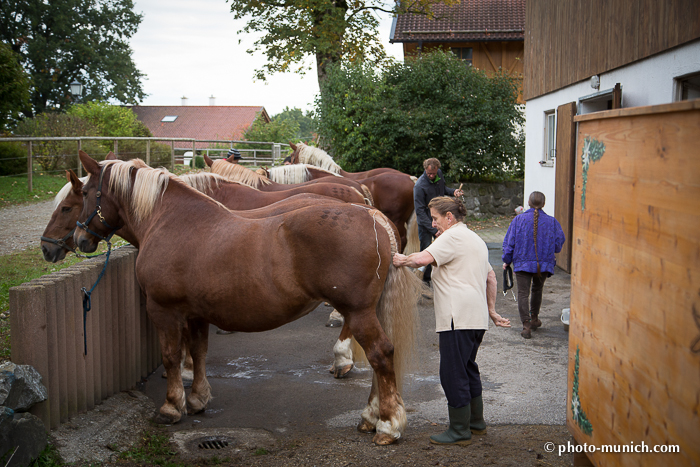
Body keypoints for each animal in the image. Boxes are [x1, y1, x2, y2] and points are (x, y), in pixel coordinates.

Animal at [74, 151, 422, 446]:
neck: (169, 220)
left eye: (84, 193)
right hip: (368, 310)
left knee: (381, 355)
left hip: (358, 312)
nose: (79, 238)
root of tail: (373, 216)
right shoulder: (196, 313)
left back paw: (387, 425)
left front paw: (171, 407)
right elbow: (199, 352)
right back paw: (371, 416)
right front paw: (198, 399)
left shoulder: (164, 310)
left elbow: (171, 356)